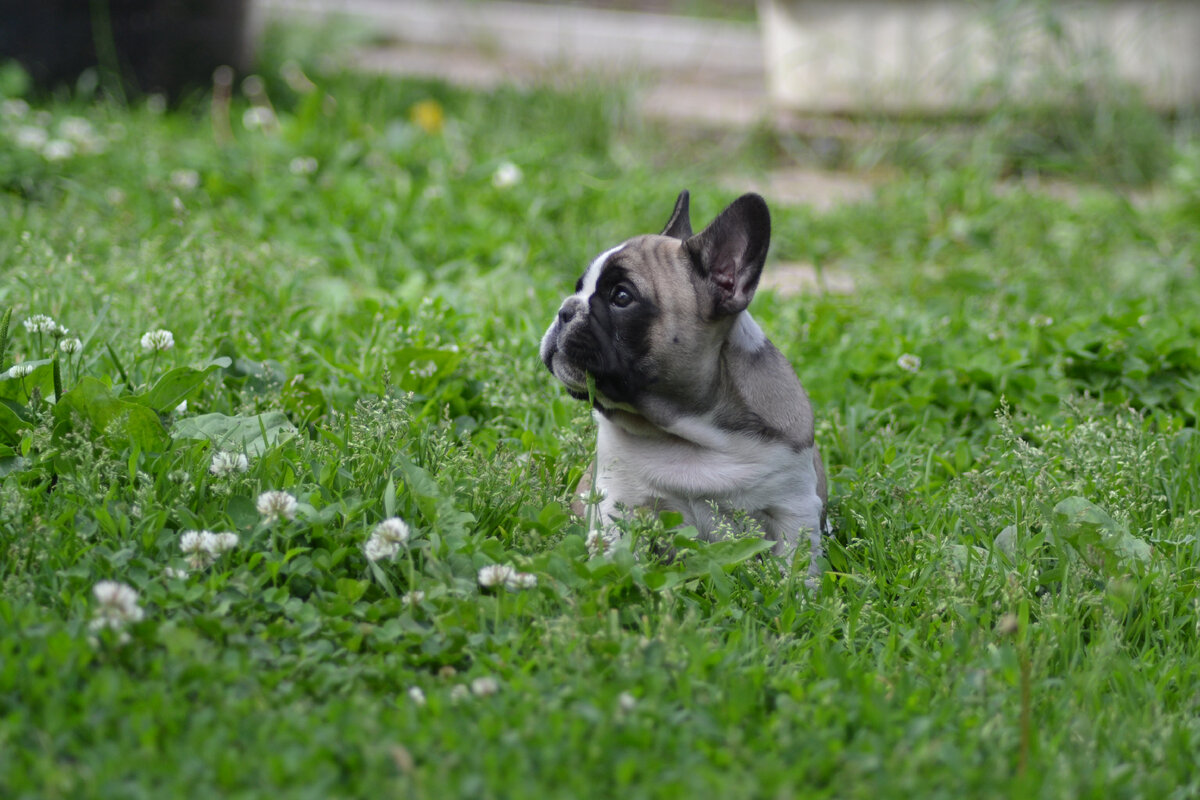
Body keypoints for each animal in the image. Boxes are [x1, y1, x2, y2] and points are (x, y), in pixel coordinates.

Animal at [542, 190, 825, 578]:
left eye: (621, 297)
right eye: (578, 289)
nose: (565, 310)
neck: (688, 430)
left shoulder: (793, 506)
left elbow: (794, 565)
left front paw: (794, 591)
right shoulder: (618, 499)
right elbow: (617, 552)